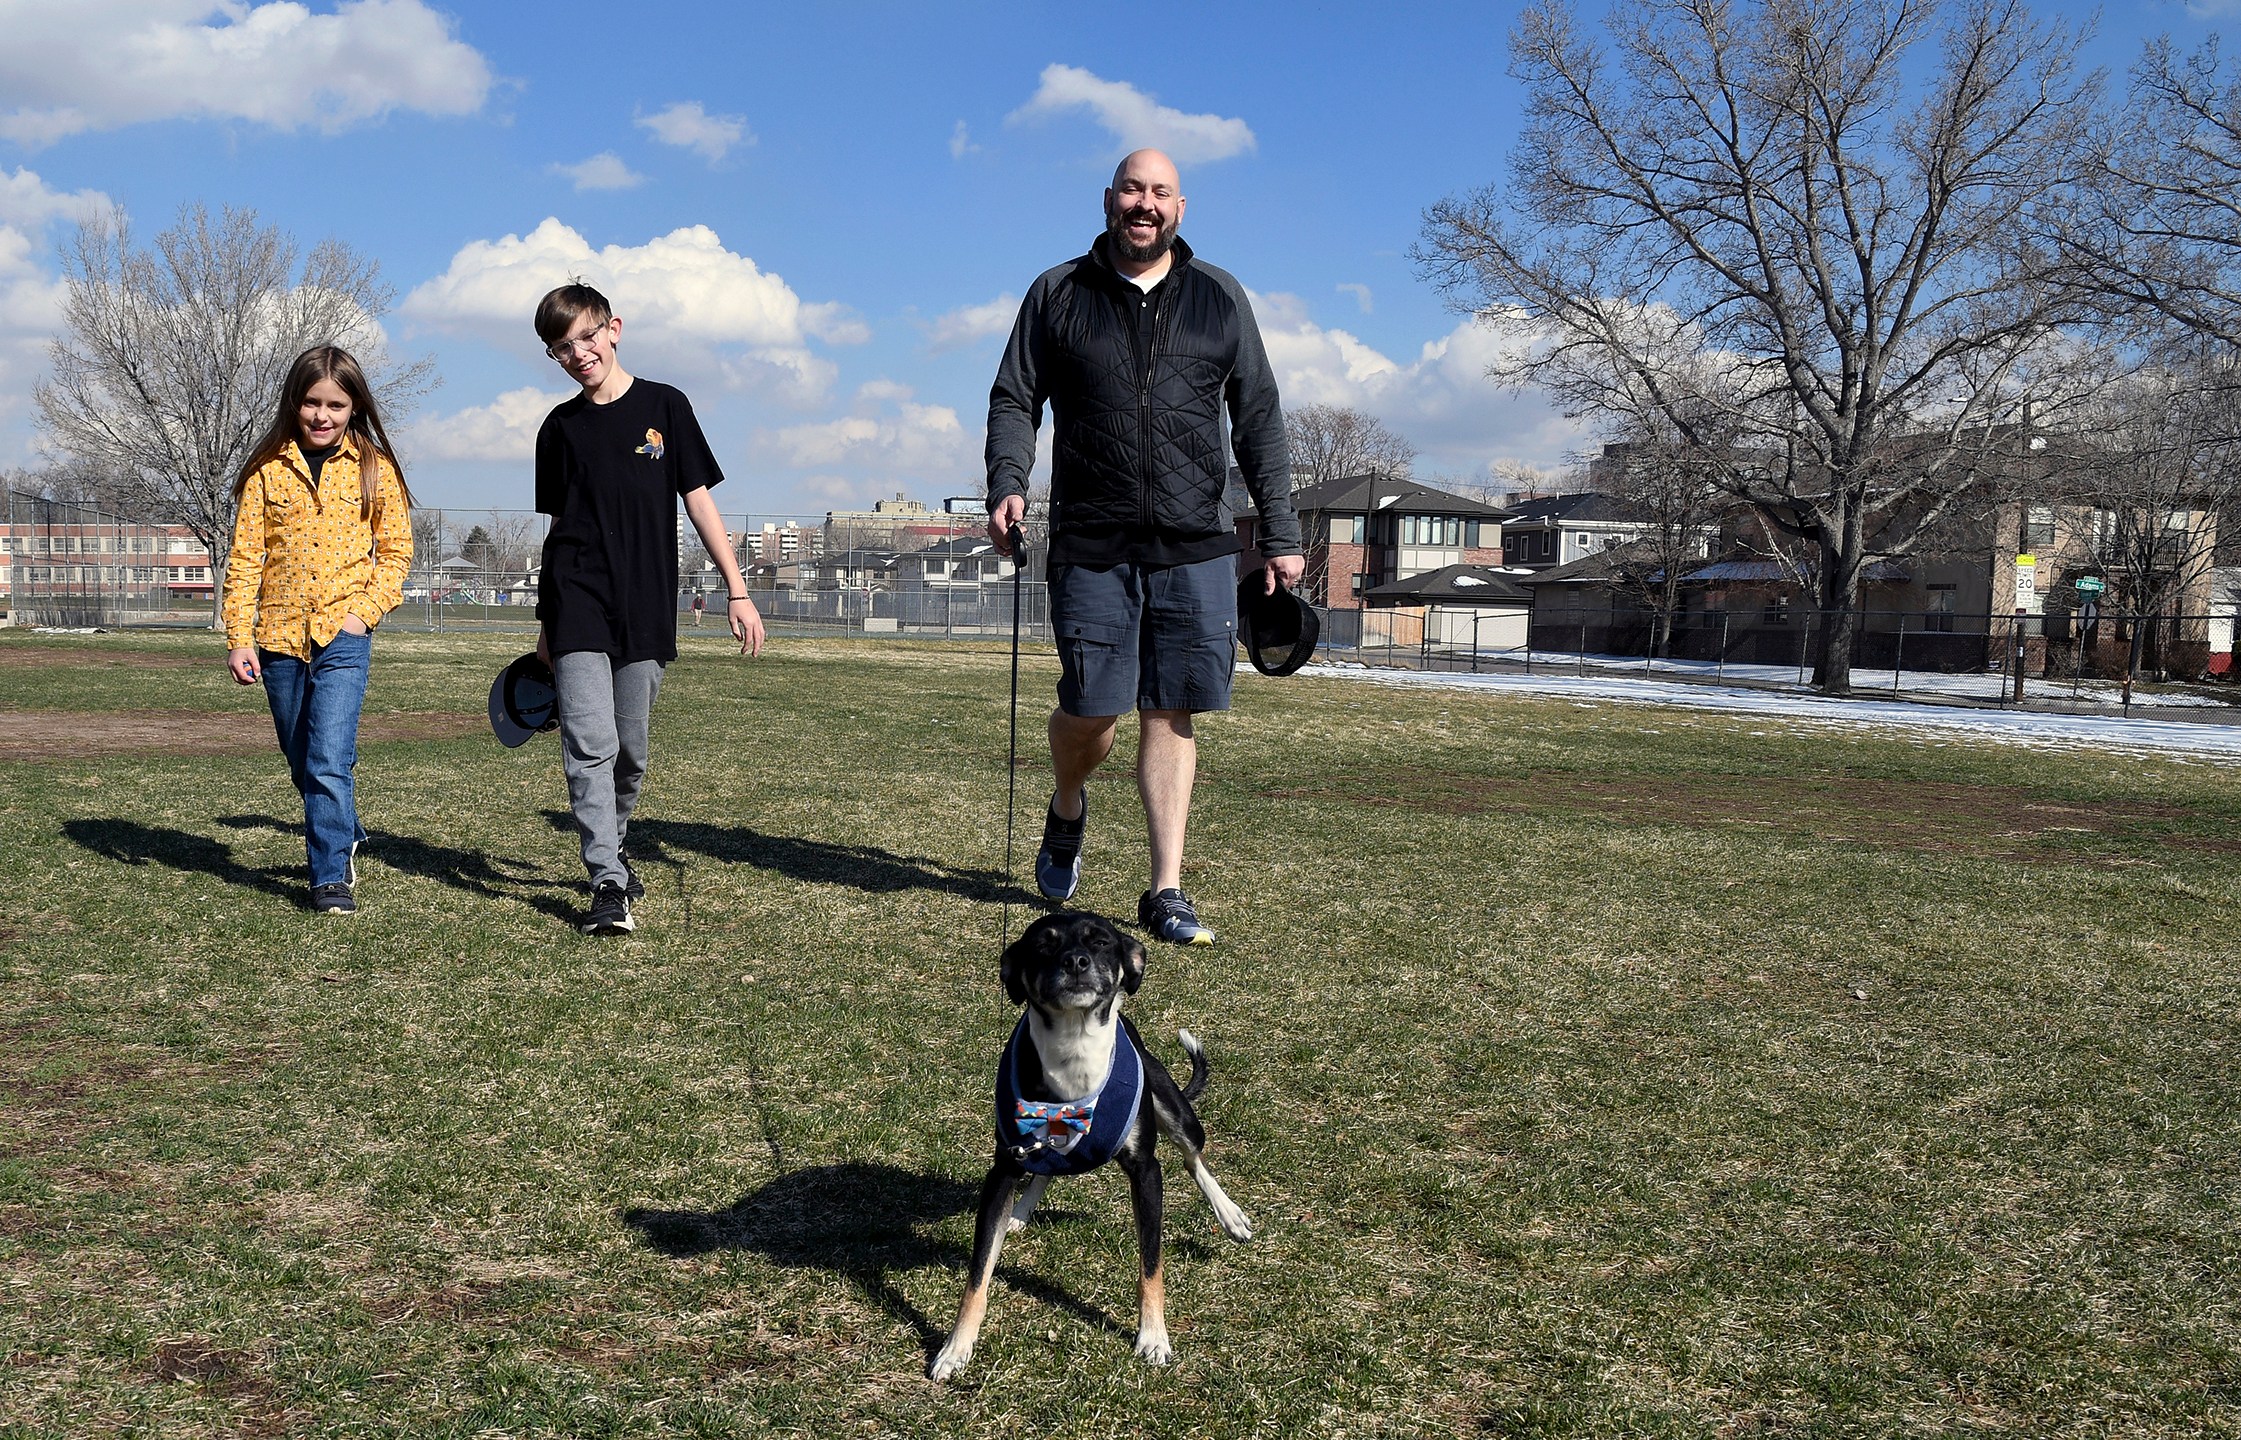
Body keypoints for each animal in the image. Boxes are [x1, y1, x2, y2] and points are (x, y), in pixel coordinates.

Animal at [923, 918, 1254, 1379]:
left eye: (1100, 942)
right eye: (1043, 945)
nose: (1076, 961)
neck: (1074, 1046)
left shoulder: (1147, 1172)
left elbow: (1151, 1264)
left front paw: (1153, 1336)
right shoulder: (1004, 1169)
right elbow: (978, 1274)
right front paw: (955, 1347)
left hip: (1174, 1109)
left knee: (1194, 1158)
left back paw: (1230, 1215)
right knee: (1045, 1169)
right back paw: (1022, 1212)